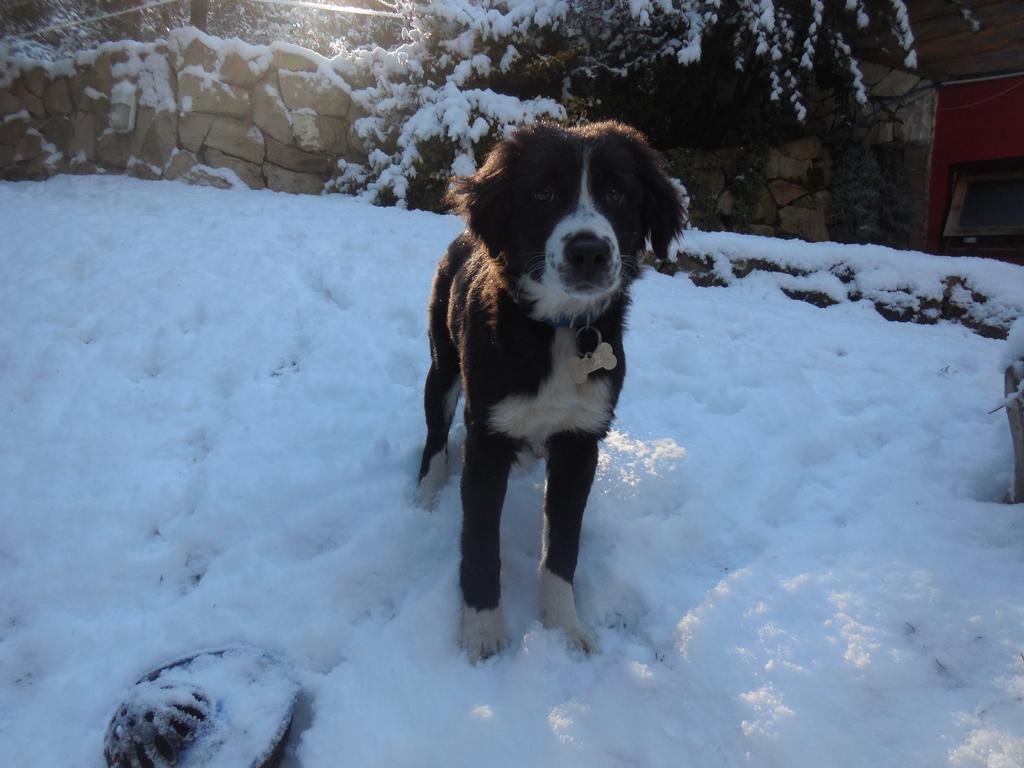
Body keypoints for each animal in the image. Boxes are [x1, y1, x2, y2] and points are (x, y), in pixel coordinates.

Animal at [415, 120, 688, 663]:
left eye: (617, 193)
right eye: (542, 193)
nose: (589, 252)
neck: (559, 330)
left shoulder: (581, 439)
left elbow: (562, 546)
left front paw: (563, 629)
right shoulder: (487, 437)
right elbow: (480, 543)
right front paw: (482, 631)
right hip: (443, 366)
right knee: (435, 436)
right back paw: (426, 495)